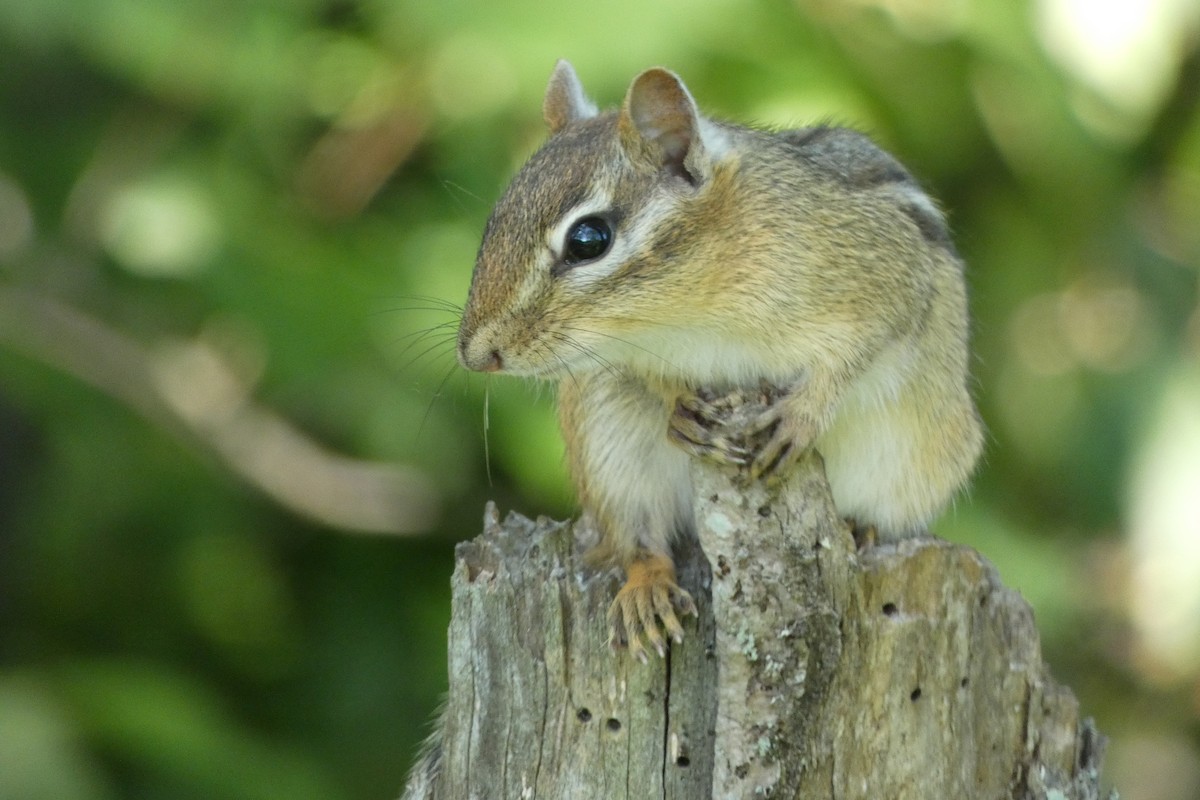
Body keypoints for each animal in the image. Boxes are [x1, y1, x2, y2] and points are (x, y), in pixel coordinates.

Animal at [455, 60, 984, 664]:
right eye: (495, 221)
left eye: (589, 240)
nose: (476, 355)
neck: (689, 308)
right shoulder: (627, 362)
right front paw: (680, 408)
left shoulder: (891, 279)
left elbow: (855, 354)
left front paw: (799, 416)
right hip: (604, 438)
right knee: (636, 537)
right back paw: (647, 591)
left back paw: (861, 529)